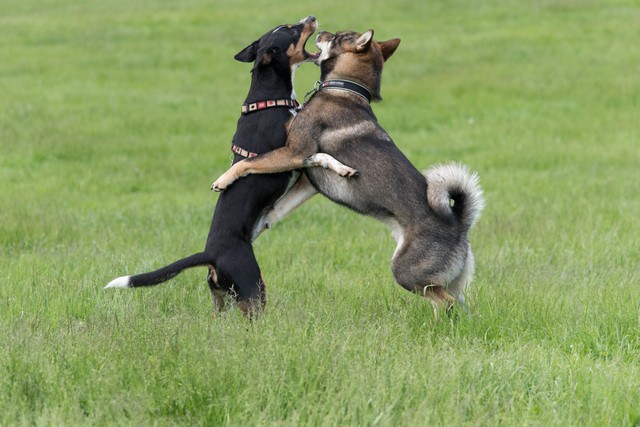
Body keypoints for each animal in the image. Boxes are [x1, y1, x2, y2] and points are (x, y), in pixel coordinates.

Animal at [105, 16, 356, 316]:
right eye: (291, 29)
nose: (311, 17)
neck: (268, 100)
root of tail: (210, 254)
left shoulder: (296, 153)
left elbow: (319, 156)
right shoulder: (290, 153)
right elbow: (277, 159)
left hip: (222, 300)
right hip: (253, 289)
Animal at [214, 29, 484, 310]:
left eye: (337, 36)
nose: (322, 30)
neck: (343, 89)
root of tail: (459, 224)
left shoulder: (294, 153)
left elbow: (248, 162)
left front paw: (223, 179)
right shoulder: (308, 181)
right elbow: (276, 209)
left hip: (406, 272)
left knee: (445, 302)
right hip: (451, 283)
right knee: (458, 306)